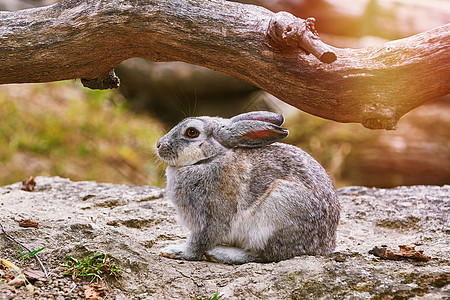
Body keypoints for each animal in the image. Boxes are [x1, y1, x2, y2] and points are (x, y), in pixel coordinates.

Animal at [156, 111, 340, 264]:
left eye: (191, 132)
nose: (158, 144)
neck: (209, 159)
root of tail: (324, 246)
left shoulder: (210, 219)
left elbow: (198, 243)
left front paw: (175, 251)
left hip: (278, 211)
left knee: (265, 255)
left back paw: (220, 254)